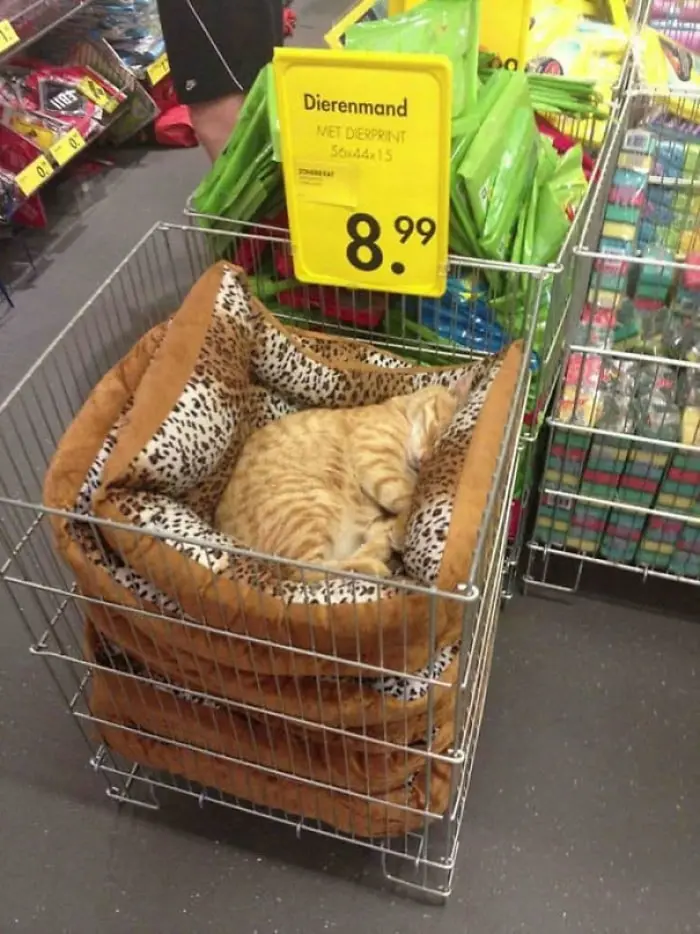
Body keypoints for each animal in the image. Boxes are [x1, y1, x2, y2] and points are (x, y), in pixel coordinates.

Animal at [216, 376, 474, 580]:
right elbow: (408, 497)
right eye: (437, 430)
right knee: (309, 570)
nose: (425, 459)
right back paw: (375, 567)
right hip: (314, 508)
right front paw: (402, 532)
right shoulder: (376, 459)